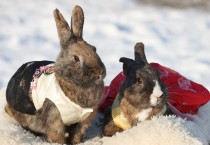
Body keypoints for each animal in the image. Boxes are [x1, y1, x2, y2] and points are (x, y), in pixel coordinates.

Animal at [4, 5, 106, 144]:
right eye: (76, 58)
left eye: (94, 48)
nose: (100, 72)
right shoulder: (55, 117)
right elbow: (57, 135)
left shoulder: (84, 119)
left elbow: (77, 134)